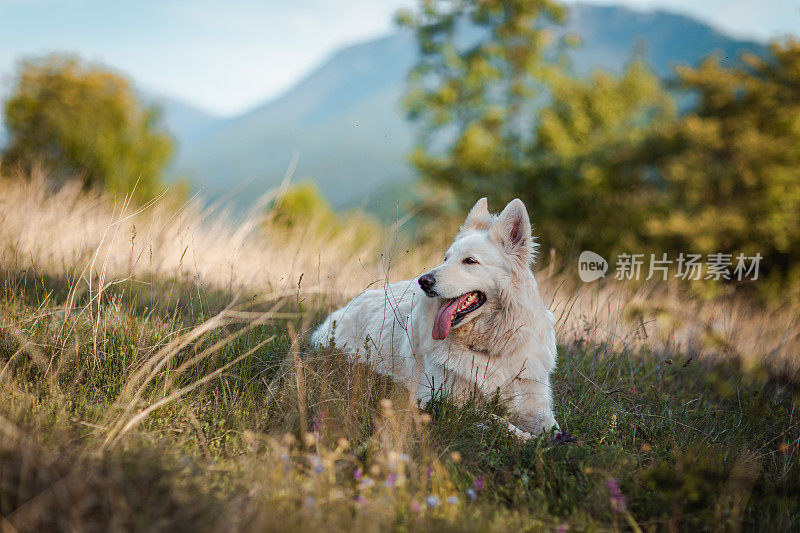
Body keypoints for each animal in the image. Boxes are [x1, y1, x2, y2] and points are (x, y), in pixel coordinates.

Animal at [310, 197, 560, 434]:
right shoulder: (441, 401)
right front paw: (524, 436)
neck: (487, 349)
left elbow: (555, 430)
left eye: (470, 261)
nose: (423, 281)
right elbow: (493, 417)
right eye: (445, 258)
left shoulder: (535, 406)